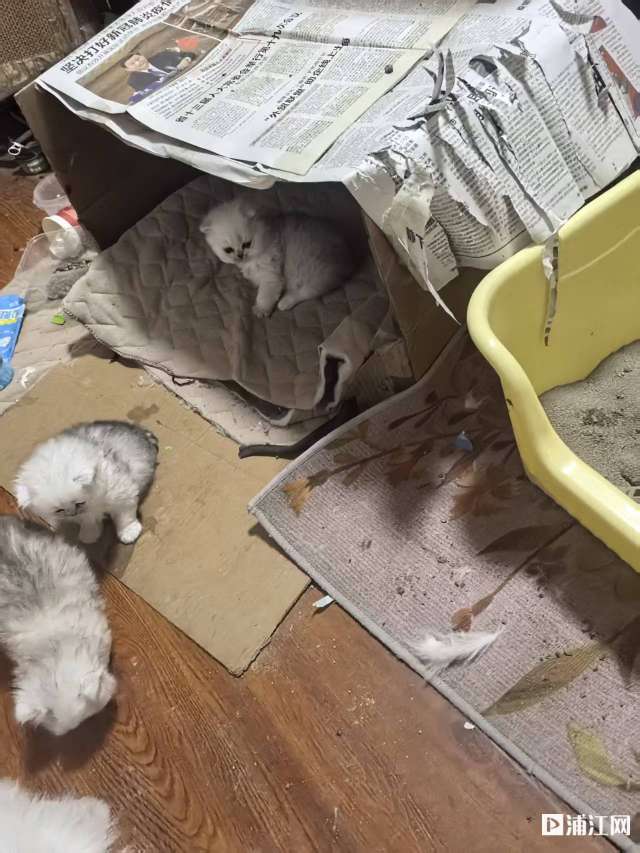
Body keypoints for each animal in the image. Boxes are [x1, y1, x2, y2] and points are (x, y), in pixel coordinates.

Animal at [14, 420, 158, 545]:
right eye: (59, 510)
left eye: (79, 503)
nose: (72, 514)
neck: (95, 499)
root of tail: (137, 429)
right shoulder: (84, 514)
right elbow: (88, 521)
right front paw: (90, 534)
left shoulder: (123, 494)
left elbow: (125, 517)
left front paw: (128, 531)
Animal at [200, 197, 355, 317]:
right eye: (228, 250)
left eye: (247, 244)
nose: (240, 255)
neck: (265, 236)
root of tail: (347, 254)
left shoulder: (271, 276)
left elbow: (264, 295)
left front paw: (261, 310)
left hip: (312, 274)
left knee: (304, 293)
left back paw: (284, 302)